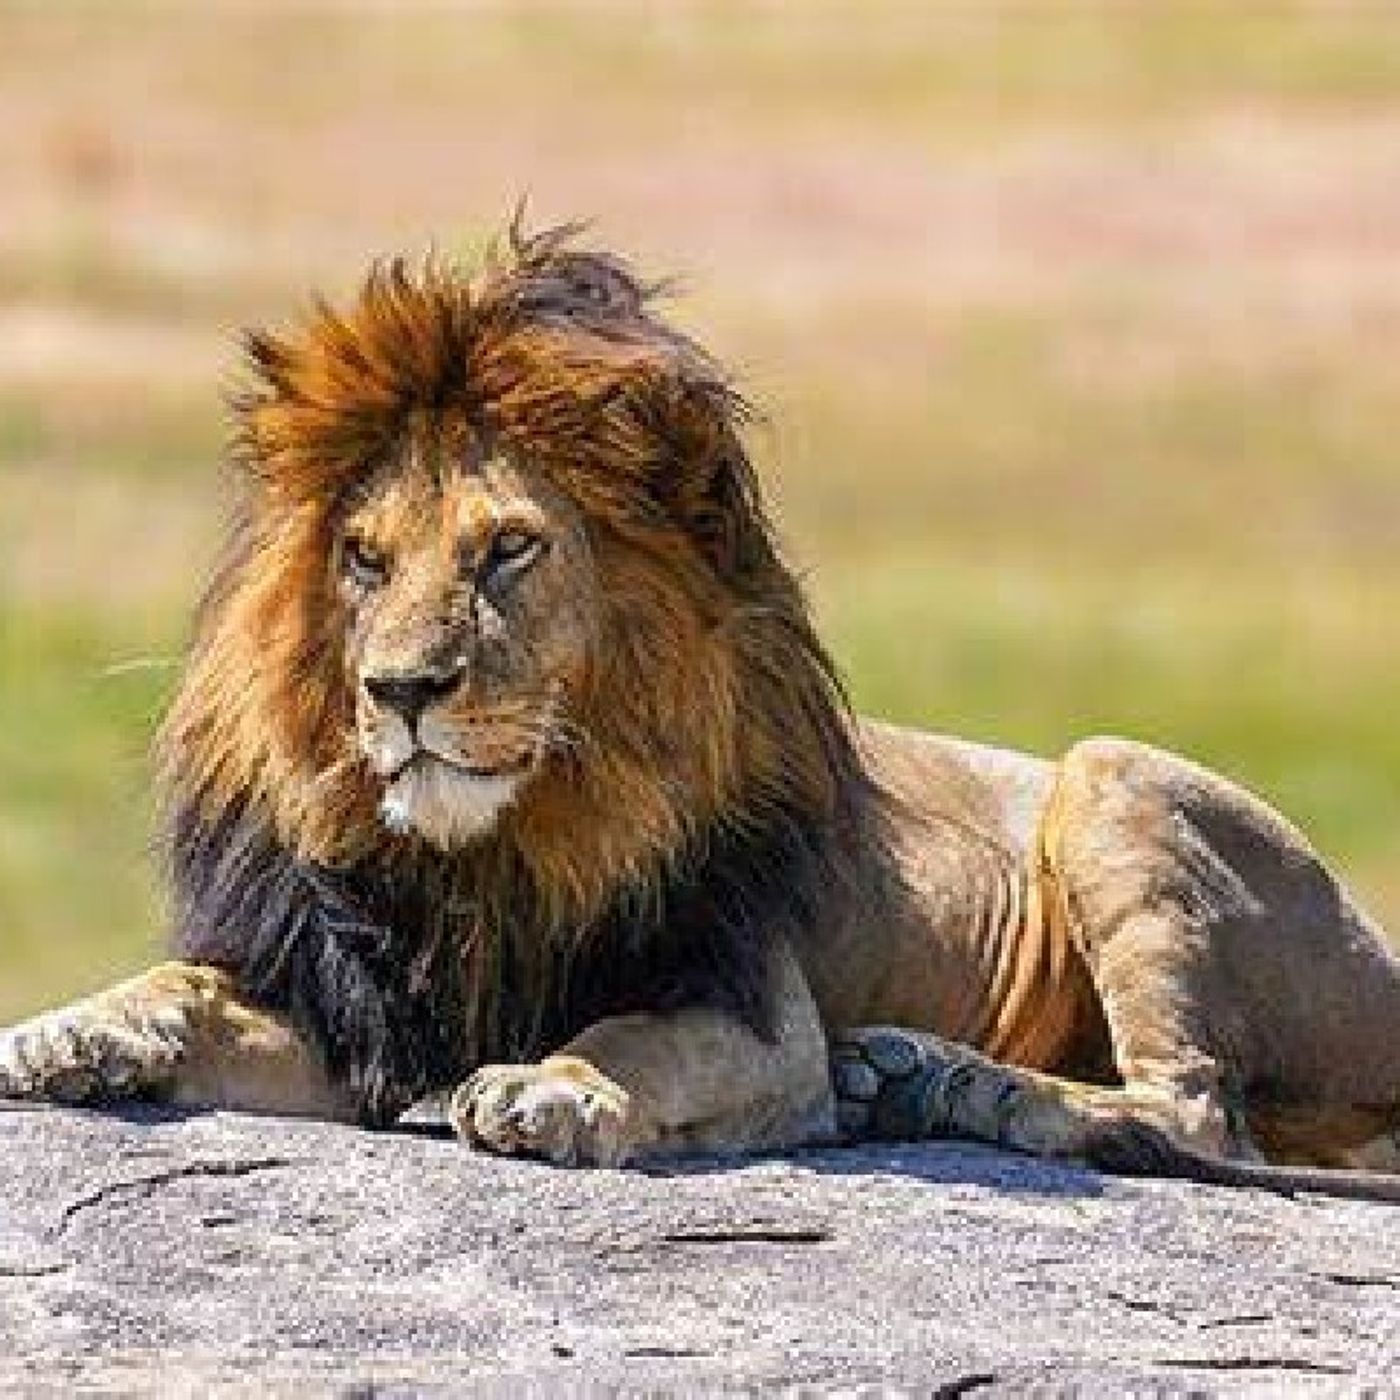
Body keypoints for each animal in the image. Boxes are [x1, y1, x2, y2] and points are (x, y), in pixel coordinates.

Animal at [4, 224, 1400, 1203]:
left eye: (507, 550)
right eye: (362, 557)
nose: (396, 691)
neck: (494, 852)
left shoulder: (754, 1013)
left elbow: (635, 1040)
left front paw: (553, 1088)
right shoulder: (358, 1013)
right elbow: (184, 982)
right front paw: (74, 1028)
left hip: (1114, 774)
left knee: (1194, 1113)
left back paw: (944, 1082)